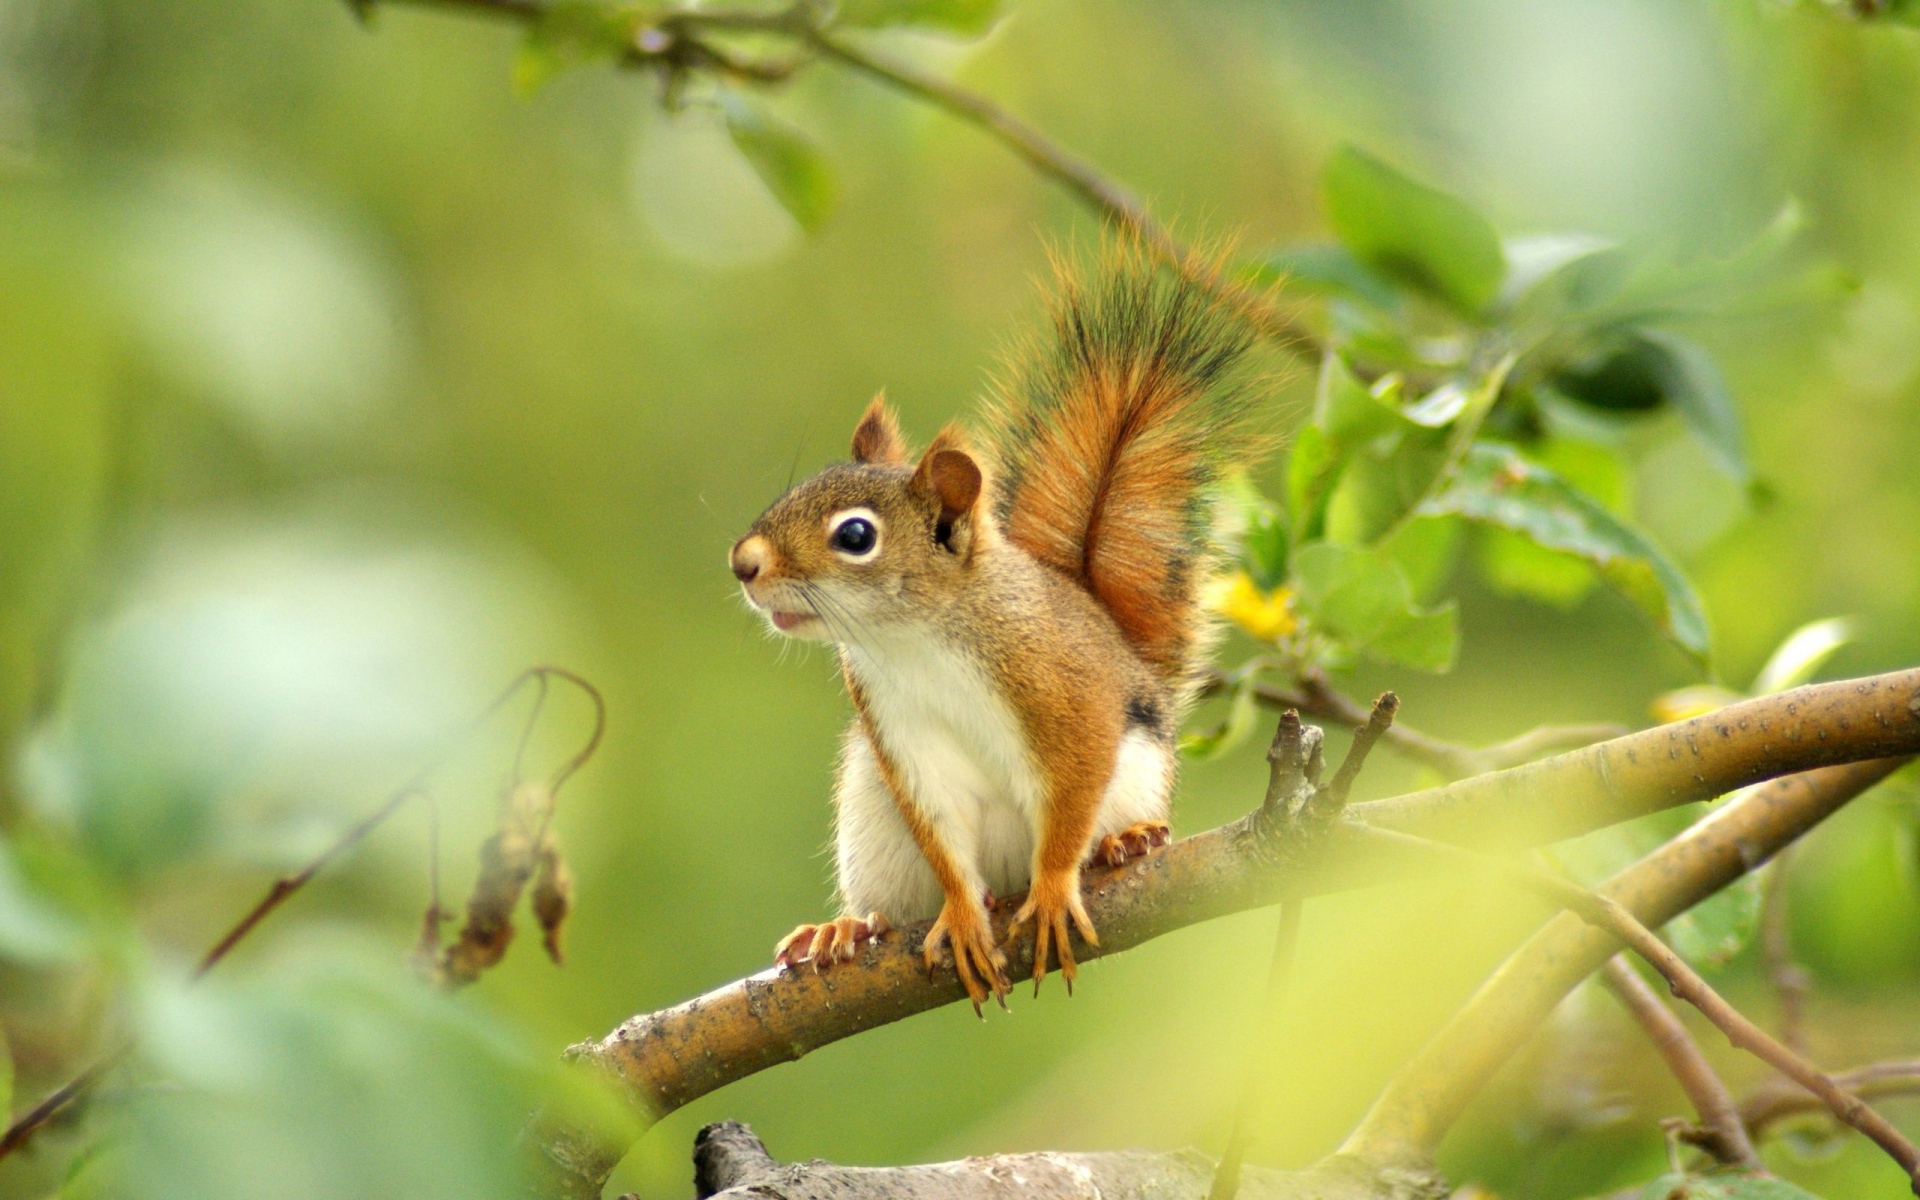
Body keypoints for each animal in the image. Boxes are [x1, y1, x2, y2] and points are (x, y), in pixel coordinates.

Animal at [729, 255, 1260, 1009]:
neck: (915, 640)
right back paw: (847, 928)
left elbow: (1071, 791)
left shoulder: (1067, 692)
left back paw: (1124, 843)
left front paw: (1056, 886)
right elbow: (943, 833)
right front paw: (959, 913)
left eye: (855, 536)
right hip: (871, 824)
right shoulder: (900, 732)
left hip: (1135, 774)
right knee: (892, 900)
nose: (743, 563)